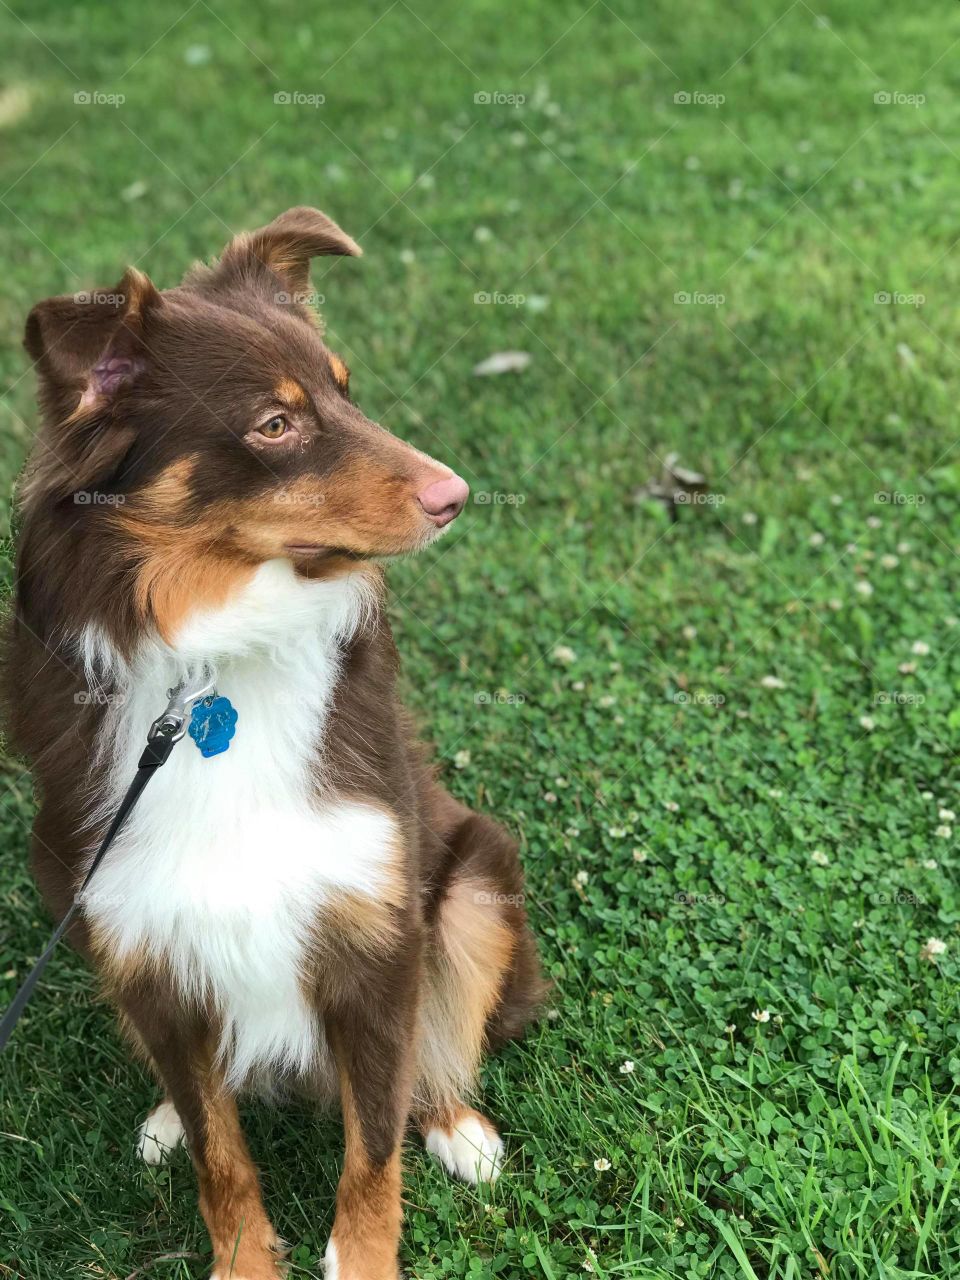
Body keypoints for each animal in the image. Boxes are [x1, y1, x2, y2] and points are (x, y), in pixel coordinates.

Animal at [3, 209, 547, 1280]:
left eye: (345, 388)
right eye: (275, 424)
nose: (457, 495)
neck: (211, 664)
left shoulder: (378, 932)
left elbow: (373, 1145)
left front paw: (365, 1256)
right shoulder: (141, 939)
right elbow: (223, 1157)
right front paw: (243, 1254)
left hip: (474, 877)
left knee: (438, 1047)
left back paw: (457, 1125)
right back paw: (168, 1115)